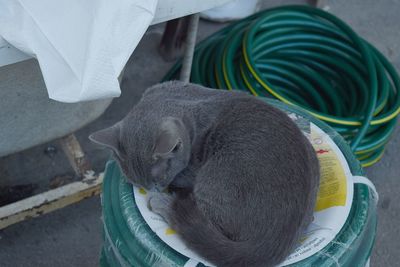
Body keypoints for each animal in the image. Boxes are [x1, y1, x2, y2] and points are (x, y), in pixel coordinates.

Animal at [89, 81, 320, 267]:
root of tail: (275, 241)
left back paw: (164, 203)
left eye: (160, 178)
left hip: (214, 180)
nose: (154, 189)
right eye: (138, 183)